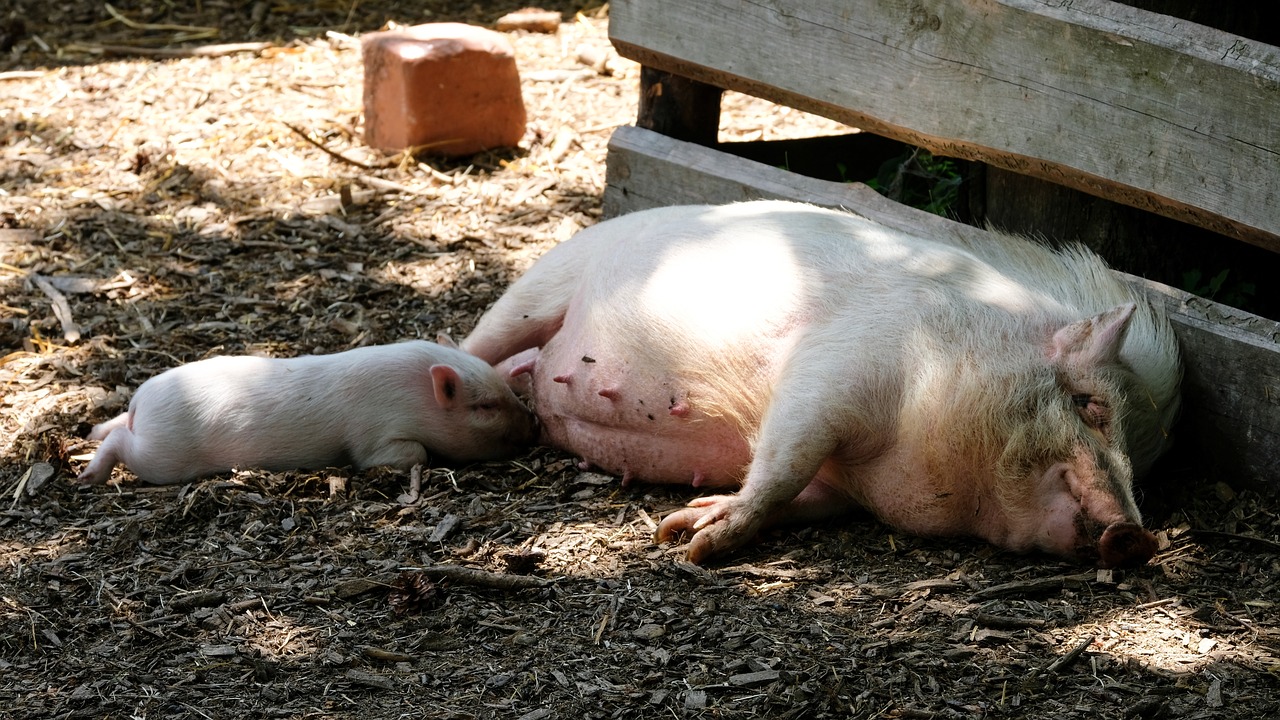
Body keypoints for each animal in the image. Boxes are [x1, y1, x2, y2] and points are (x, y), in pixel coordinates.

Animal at [76, 338, 535, 484]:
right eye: (484, 405)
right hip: (163, 456)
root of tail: (139, 402)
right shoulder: (374, 434)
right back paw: (87, 478)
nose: (534, 425)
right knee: (120, 443)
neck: (415, 394)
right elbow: (407, 454)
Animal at [465, 199, 1182, 566]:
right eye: (1088, 405)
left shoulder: (841, 488)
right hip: (542, 283)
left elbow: (794, 491)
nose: (1138, 537)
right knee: (476, 341)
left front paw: (688, 521)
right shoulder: (835, 367)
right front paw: (690, 544)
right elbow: (786, 458)